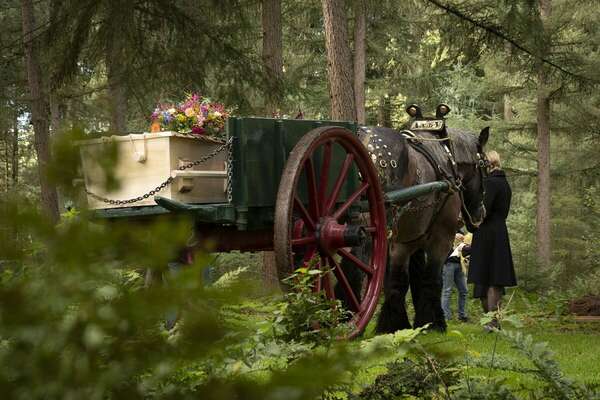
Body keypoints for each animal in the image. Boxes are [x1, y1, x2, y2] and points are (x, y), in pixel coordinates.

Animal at [338, 103, 488, 332]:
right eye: (486, 168)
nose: (481, 215)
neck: (448, 160)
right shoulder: (440, 238)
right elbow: (430, 279)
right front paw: (432, 322)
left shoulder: (408, 240)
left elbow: (401, 281)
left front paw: (395, 323)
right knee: (355, 267)